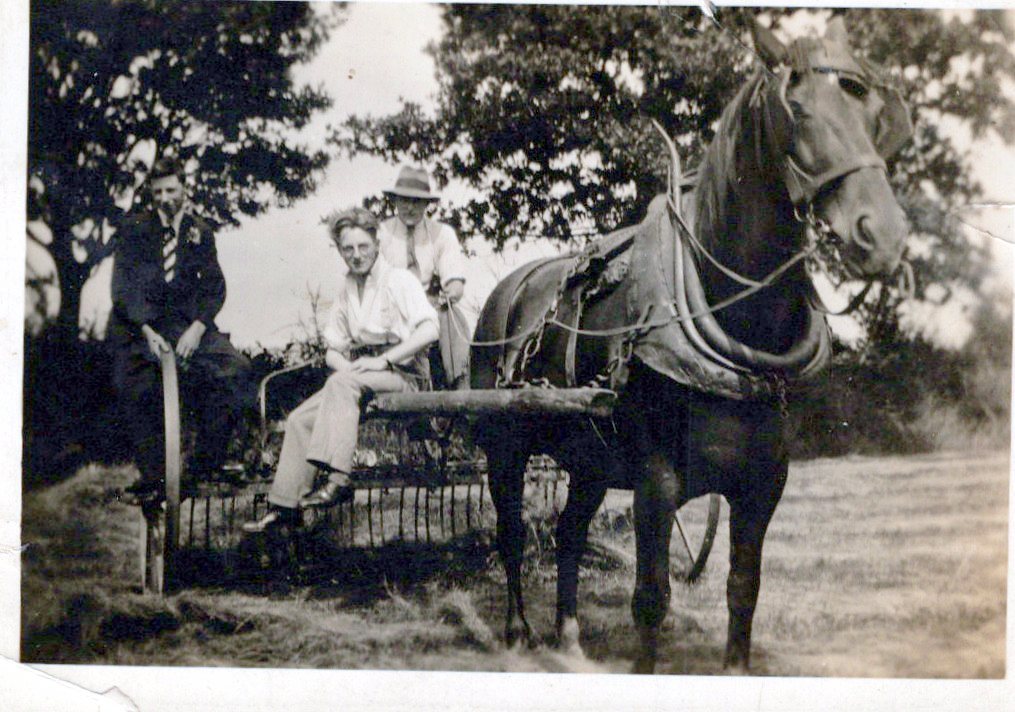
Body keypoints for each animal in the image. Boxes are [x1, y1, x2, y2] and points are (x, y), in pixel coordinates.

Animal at [466, 18, 913, 670]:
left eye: (878, 116)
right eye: (798, 111)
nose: (881, 234)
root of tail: (508, 291)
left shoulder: (763, 485)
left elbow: (743, 590)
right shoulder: (656, 484)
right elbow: (652, 598)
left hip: (590, 460)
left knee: (570, 531)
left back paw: (569, 635)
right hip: (505, 443)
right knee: (513, 534)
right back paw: (520, 630)